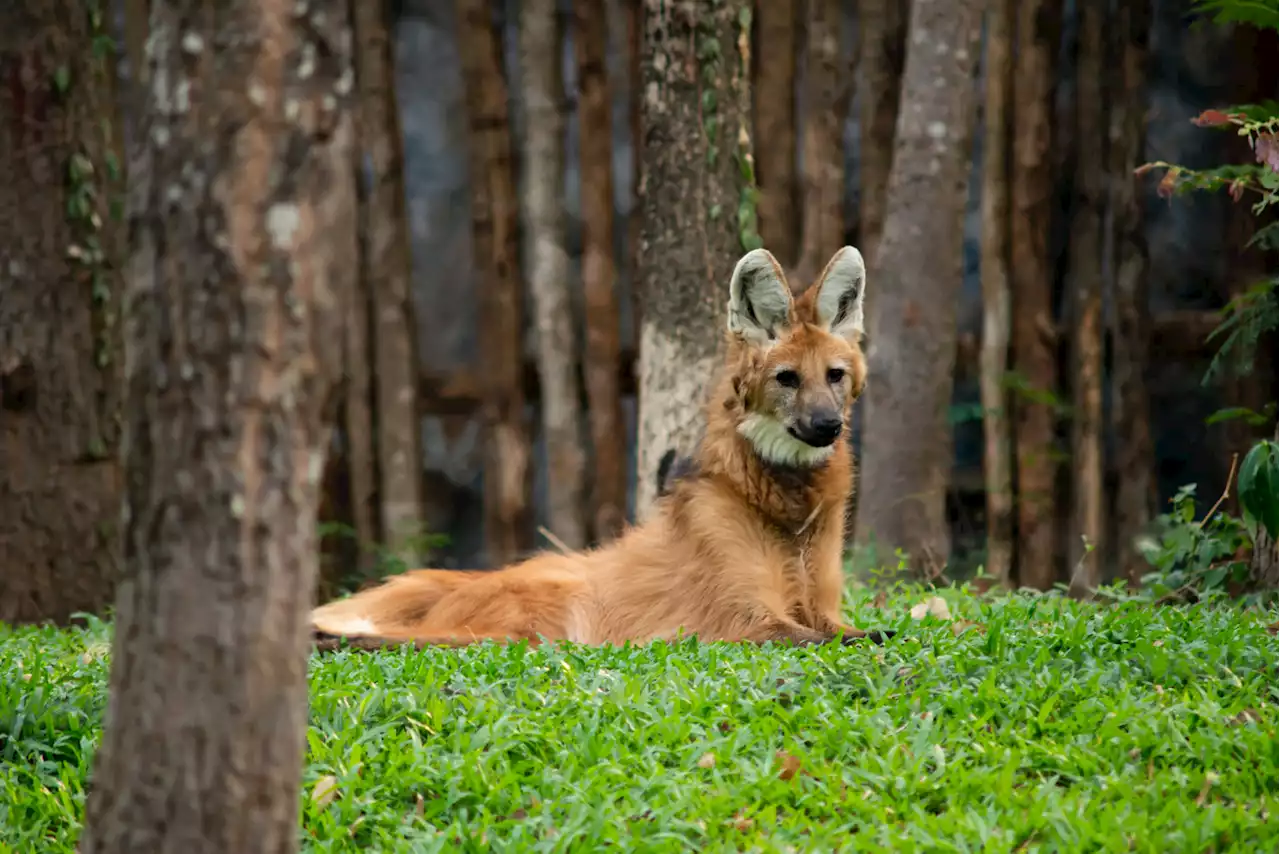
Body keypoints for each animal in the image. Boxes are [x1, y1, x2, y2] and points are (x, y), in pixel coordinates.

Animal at [311, 247, 896, 655]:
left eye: (834, 376)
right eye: (787, 379)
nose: (828, 425)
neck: (790, 510)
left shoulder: (823, 605)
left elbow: (873, 631)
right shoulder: (743, 621)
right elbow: (838, 638)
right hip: (537, 621)